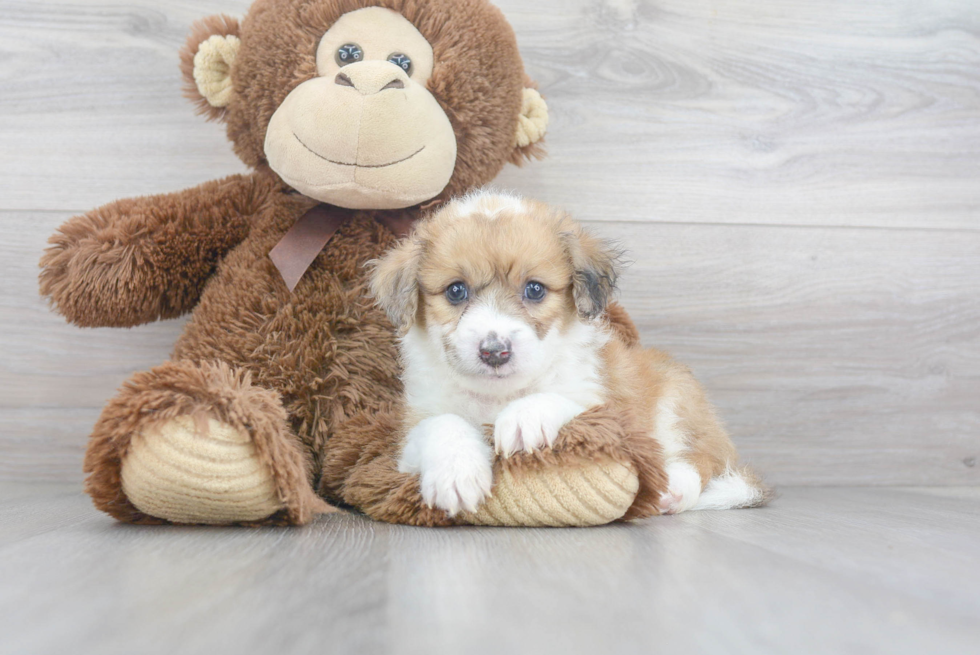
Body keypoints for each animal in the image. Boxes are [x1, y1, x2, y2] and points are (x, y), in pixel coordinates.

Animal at [372, 192, 768, 520]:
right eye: (456, 291)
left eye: (534, 289)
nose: (495, 352)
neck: (499, 397)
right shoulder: (410, 438)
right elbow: (443, 424)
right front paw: (456, 474)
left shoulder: (612, 411)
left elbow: (565, 400)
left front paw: (524, 419)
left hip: (677, 396)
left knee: (703, 459)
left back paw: (672, 487)